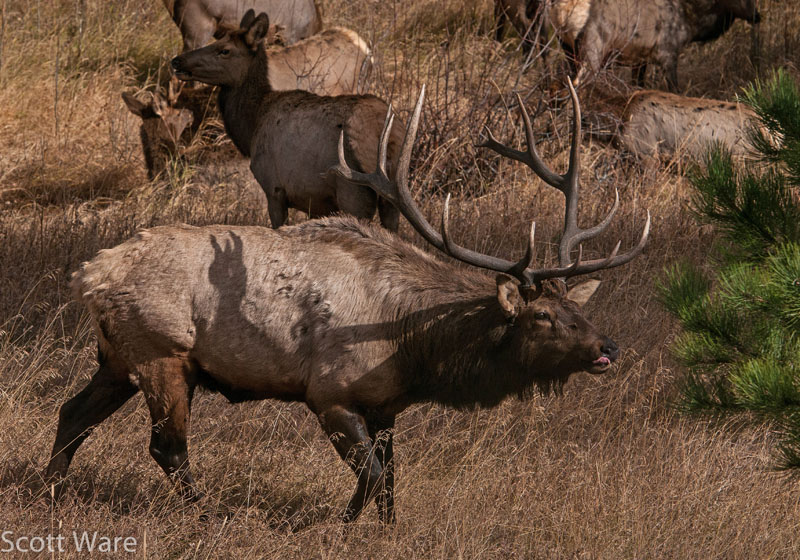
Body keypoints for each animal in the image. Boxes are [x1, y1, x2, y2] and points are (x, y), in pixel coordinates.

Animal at [45, 80, 650, 524]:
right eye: (542, 316)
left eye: (579, 310)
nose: (608, 348)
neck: (413, 343)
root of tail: (89, 275)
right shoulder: (330, 393)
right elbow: (374, 476)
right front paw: (340, 524)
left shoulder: (385, 406)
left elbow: (391, 480)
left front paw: (384, 529)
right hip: (161, 352)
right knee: (167, 448)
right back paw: (210, 514)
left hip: (118, 357)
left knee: (72, 412)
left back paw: (49, 490)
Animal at [170, 10, 399, 230]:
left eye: (224, 50)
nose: (177, 60)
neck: (252, 124)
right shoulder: (317, 202)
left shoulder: (275, 188)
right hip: (389, 200)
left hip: (353, 192)